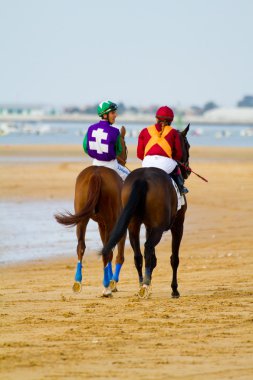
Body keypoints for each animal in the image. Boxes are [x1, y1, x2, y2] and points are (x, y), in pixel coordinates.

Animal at [102, 126, 191, 298]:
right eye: (187, 145)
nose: (187, 171)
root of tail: (142, 179)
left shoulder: (148, 226)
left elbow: (153, 259)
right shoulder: (178, 225)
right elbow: (174, 258)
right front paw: (174, 289)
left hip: (133, 226)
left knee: (138, 254)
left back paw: (142, 284)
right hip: (158, 228)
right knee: (148, 248)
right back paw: (145, 285)